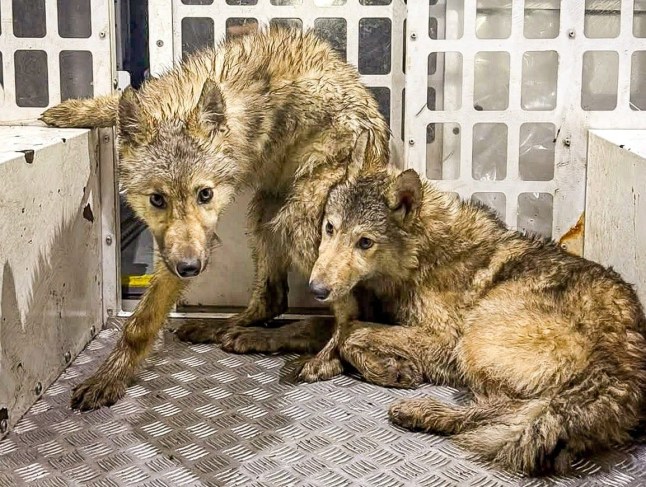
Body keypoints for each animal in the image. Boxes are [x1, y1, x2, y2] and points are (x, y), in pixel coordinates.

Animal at [40, 28, 390, 410]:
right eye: (157, 199)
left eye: (204, 194)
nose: (190, 268)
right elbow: (121, 99)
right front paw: (73, 110)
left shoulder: (187, 251)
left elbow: (140, 324)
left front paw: (109, 377)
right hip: (264, 215)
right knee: (271, 300)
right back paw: (226, 329)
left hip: (300, 224)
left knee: (351, 308)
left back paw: (326, 359)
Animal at [296, 159, 646, 474]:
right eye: (330, 228)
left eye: (365, 242)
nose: (316, 289)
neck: (421, 254)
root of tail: (619, 367)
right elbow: (344, 327)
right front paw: (323, 360)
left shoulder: (445, 342)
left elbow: (352, 331)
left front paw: (388, 369)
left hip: (473, 341)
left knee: (509, 409)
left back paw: (423, 412)